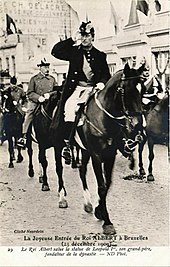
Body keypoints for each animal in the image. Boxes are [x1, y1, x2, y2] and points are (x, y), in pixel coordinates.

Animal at [73, 62, 146, 234]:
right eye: (126, 90)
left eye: (143, 89)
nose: (138, 124)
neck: (103, 118)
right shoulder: (96, 155)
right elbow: (101, 185)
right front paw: (106, 221)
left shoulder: (109, 155)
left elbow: (107, 184)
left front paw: (100, 211)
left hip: (84, 150)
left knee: (82, 169)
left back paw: (88, 204)